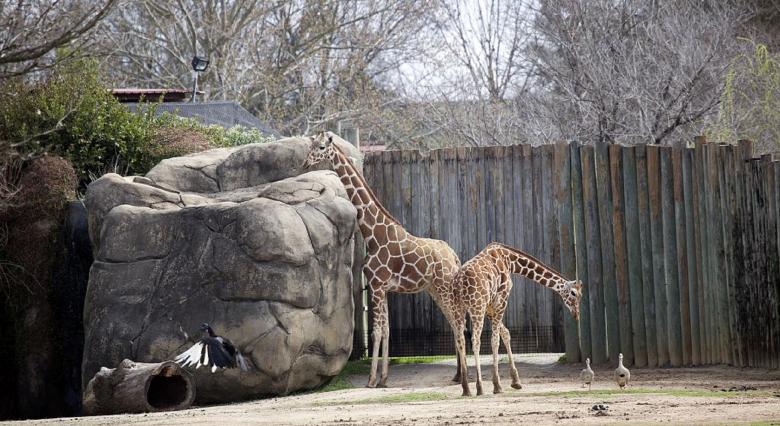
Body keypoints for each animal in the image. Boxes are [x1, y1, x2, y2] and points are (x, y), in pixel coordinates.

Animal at [302, 132, 462, 388]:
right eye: (311, 145)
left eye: (321, 147)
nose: (306, 163)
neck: (373, 234)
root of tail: (454, 256)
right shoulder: (383, 288)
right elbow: (386, 330)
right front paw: (384, 378)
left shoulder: (377, 286)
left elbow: (377, 331)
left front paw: (371, 380)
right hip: (435, 290)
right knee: (455, 322)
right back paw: (458, 375)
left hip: (444, 286)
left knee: (458, 321)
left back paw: (464, 376)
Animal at [450, 242, 582, 396]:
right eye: (573, 293)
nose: (576, 314)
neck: (510, 261)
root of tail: (459, 283)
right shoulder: (501, 299)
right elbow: (495, 340)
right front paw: (497, 385)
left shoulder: (490, 306)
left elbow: (505, 333)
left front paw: (516, 381)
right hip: (477, 308)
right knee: (475, 341)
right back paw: (479, 387)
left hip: (457, 309)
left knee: (460, 340)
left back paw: (466, 388)